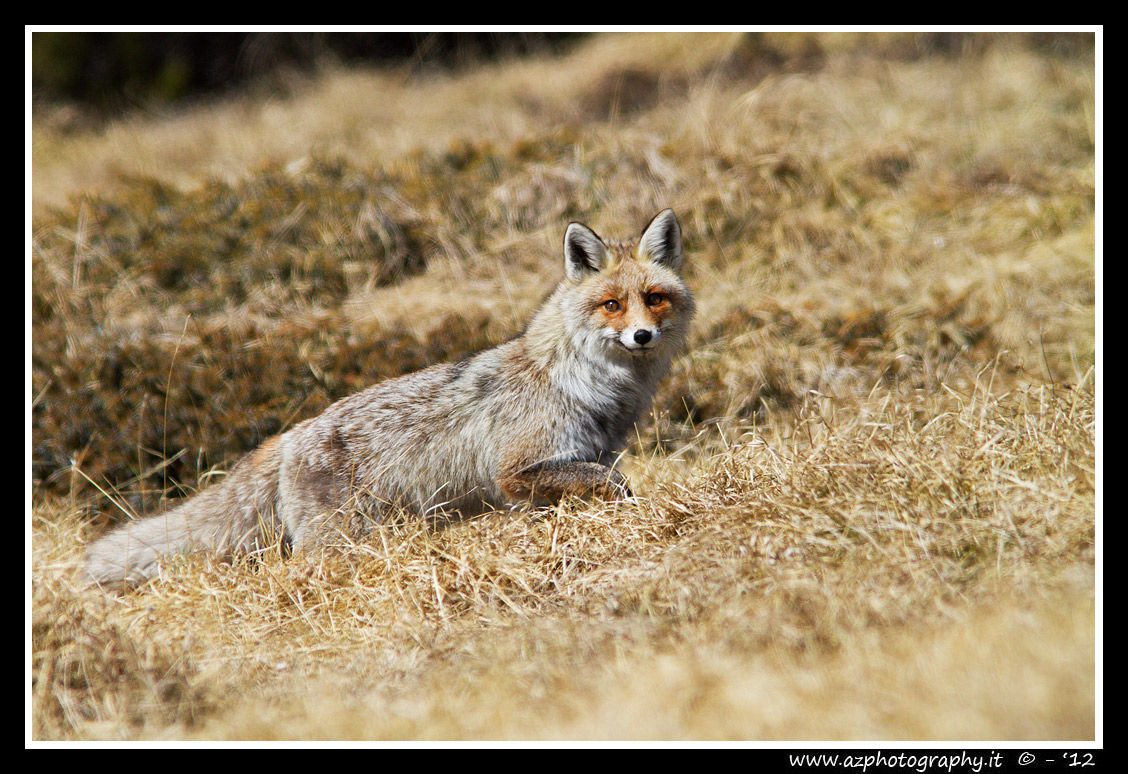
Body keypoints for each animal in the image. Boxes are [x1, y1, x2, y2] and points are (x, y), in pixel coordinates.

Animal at [84, 208, 694, 587]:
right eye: (612, 305)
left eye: (655, 298)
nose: (643, 336)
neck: (582, 382)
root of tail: (289, 436)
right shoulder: (518, 469)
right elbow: (616, 485)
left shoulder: (572, 466)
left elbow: (602, 487)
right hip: (340, 543)